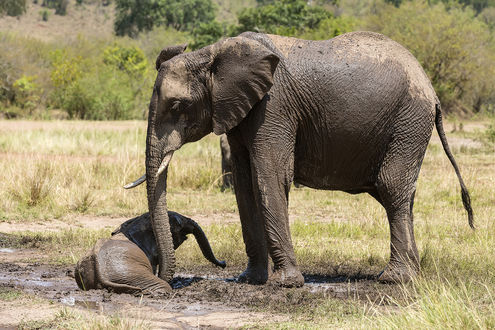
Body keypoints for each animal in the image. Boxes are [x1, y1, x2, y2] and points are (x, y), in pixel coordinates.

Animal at [126, 32, 474, 288]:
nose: (163, 278)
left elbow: (269, 176)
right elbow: (245, 182)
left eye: (177, 105)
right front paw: (249, 280)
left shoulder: (273, 106)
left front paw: (285, 284)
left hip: (409, 122)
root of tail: (430, 88)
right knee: (402, 194)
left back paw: (393, 279)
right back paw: (411, 273)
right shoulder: (240, 112)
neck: (212, 54)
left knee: (391, 187)